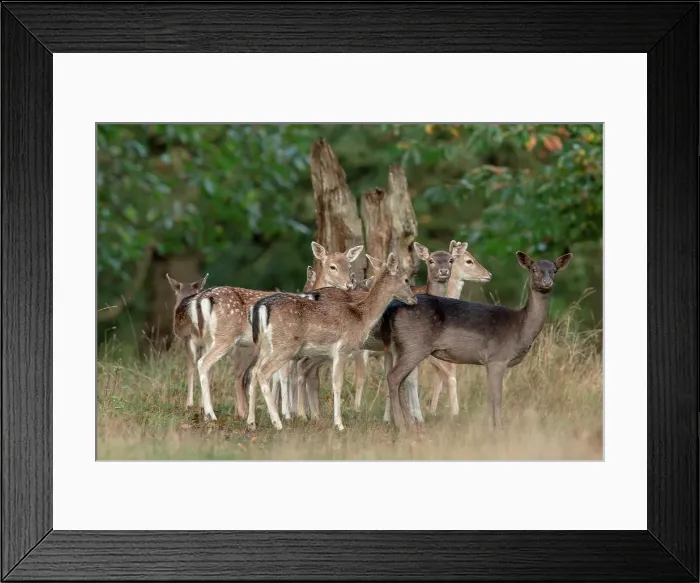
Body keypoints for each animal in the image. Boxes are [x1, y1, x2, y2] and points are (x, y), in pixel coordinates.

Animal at [165, 273, 210, 410]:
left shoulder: (186, 339)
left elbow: (190, 367)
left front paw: (190, 403)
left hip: (190, 337)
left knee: (192, 365)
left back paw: (190, 403)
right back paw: (202, 404)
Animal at [186, 242, 363, 421]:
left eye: (349, 266)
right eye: (332, 266)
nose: (349, 285)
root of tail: (202, 299)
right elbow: (285, 375)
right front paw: (289, 413)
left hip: (211, 338)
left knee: (211, 368)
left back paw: (206, 411)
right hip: (226, 336)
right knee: (205, 363)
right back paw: (212, 414)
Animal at [247, 253, 416, 431]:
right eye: (406, 279)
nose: (414, 298)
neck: (362, 317)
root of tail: (262, 307)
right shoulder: (343, 349)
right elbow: (337, 383)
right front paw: (339, 425)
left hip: (265, 346)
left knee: (254, 371)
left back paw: (251, 423)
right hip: (285, 346)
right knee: (263, 372)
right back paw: (278, 423)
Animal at [381, 251, 572, 431]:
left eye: (554, 270)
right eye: (533, 269)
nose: (547, 282)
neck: (520, 329)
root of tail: (393, 308)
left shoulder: (488, 362)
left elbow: (489, 397)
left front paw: (489, 428)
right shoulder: (497, 358)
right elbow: (497, 397)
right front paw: (499, 430)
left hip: (403, 346)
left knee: (401, 380)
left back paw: (408, 424)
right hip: (415, 344)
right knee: (394, 377)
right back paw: (402, 426)